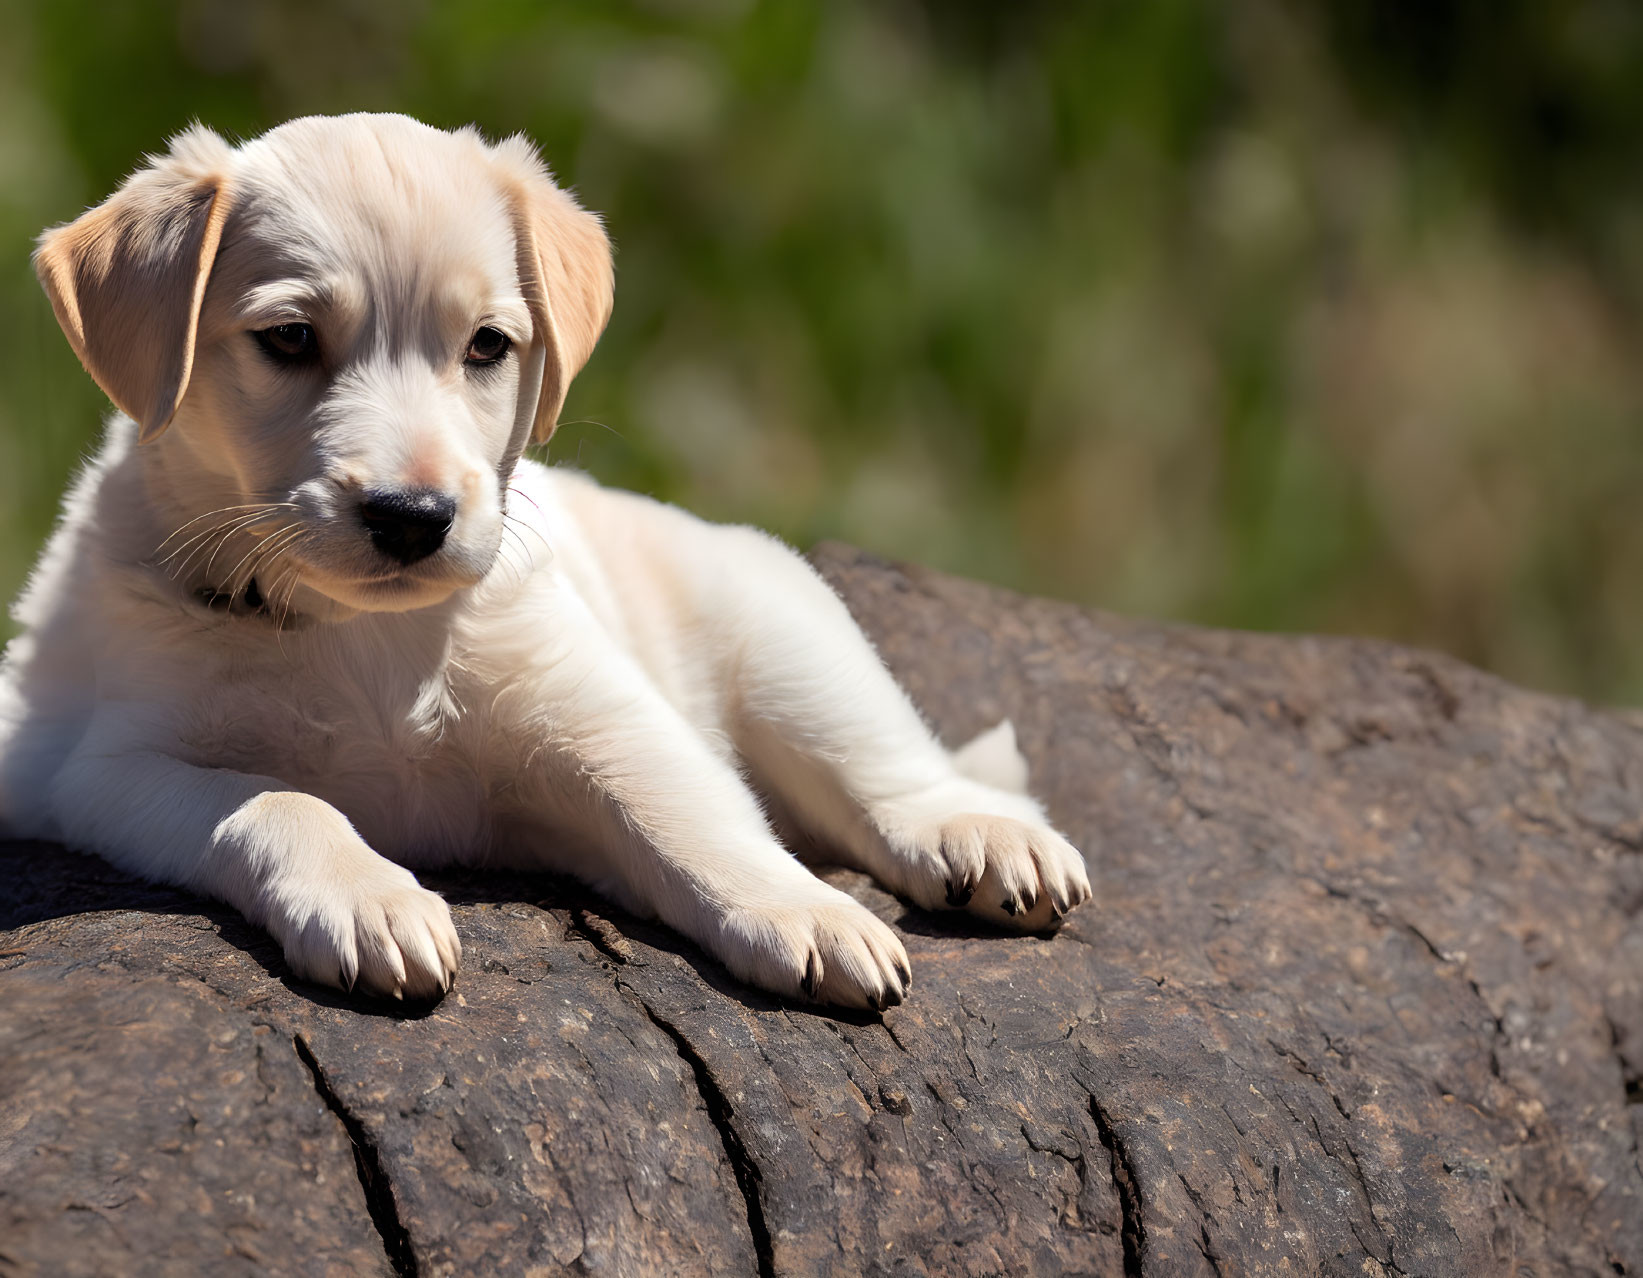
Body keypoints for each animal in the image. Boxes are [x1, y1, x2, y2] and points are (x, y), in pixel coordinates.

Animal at [9, 114, 1090, 1005]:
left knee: (896, 772)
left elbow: (696, 821)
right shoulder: (114, 766)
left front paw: (805, 912)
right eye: (289, 338)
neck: (370, 639)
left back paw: (981, 837)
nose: (413, 517)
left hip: (786, 640)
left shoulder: (601, 721)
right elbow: (276, 801)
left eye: (487, 344)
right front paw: (369, 898)